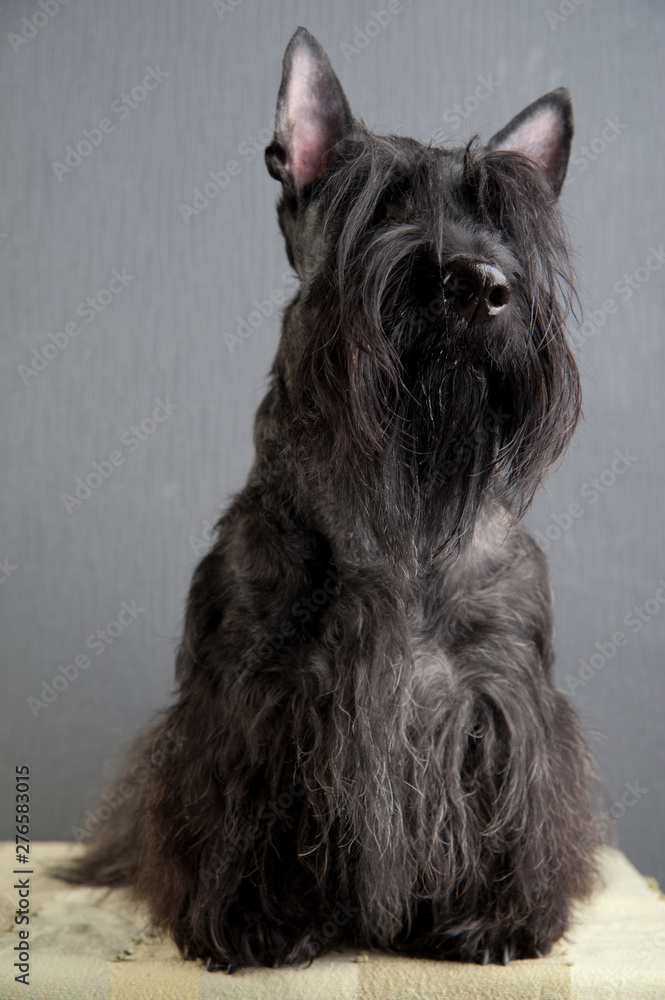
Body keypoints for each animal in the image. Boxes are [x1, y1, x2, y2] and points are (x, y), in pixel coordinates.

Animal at [55, 29, 596, 968]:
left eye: (505, 218)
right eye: (377, 203)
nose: (479, 282)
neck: (400, 505)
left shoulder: (498, 692)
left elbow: (512, 795)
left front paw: (496, 917)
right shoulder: (253, 692)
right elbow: (239, 805)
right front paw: (249, 919)